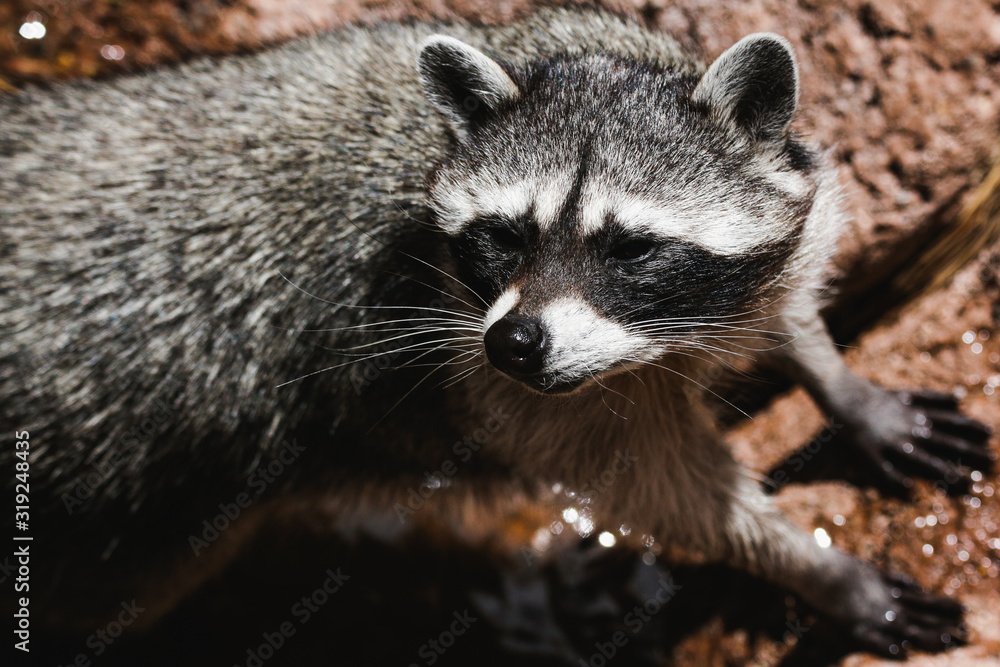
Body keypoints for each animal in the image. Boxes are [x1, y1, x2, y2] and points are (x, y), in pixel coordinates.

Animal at [1, 3, 992, 664]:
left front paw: (840, 383)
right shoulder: (475, 375)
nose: (515, 343)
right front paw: (809, 564)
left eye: (631, 247)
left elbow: (787, 291)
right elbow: (669, 490)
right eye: (506, 235)